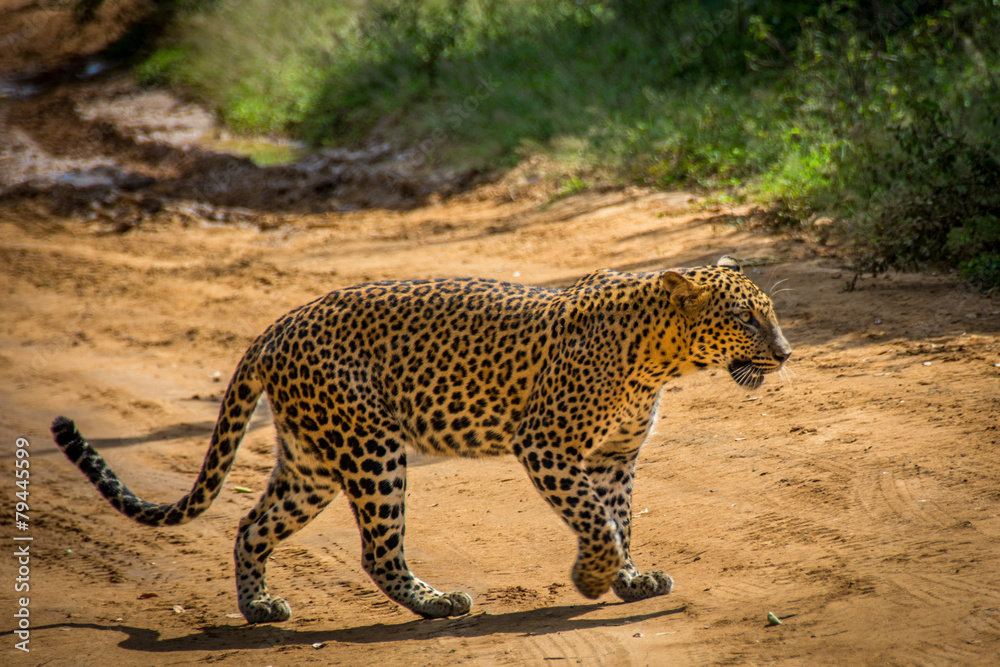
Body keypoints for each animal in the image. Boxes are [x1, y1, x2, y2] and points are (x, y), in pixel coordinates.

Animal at [51, 255, 791, 624]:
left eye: (772, 314)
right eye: (747, 318)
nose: (786, 352)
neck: (657, 358)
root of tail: (275, 327)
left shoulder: (613, 458)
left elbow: (619, 519)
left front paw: (629, 580)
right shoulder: (547, 445)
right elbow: (597, 522)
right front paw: (591, 578)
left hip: (312, 462)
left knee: (250, 523)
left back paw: (259, 606)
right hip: (371, 449)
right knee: (378, 551)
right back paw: (436, 602)